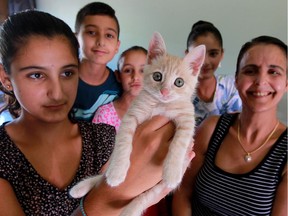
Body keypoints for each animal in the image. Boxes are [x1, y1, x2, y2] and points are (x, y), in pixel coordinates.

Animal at [69, 32, 205, 216]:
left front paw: (172, 171)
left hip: (159, 188)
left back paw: (129, 210)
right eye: (157, 76)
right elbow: (124, 143)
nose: (164, 92)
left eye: (179, 82)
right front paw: (118, 171)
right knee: (102, 177)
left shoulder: (187, 120)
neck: (161, 104)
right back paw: (82, 187)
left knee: (143, 198)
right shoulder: (131, 116)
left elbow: (179, 143)